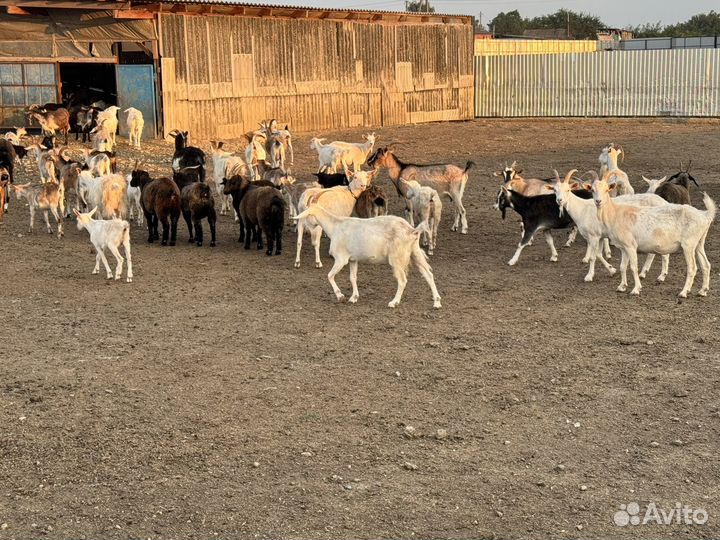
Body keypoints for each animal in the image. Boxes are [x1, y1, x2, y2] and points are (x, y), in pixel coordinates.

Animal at [293, 205, 442, 308]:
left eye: (306, 216)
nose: (302, 229)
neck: (334, 226)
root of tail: (412, 230)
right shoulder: (353, 259)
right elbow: (352, 278)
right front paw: (353, 297)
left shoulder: (341, 259)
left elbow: (329, 275)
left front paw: (340, 296)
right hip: (414, 252)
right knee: (428, 274)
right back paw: (437, 302)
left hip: (397, 258)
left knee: (403, 280)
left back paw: (394, 302)